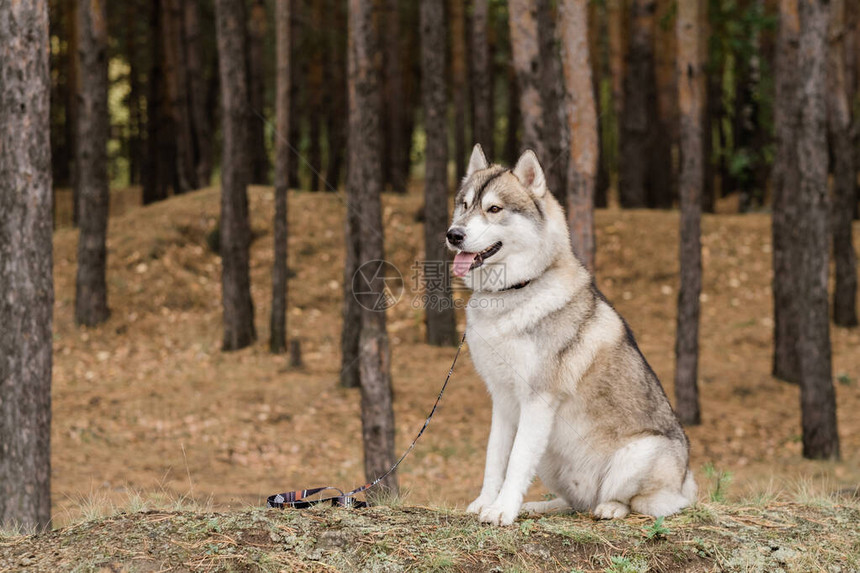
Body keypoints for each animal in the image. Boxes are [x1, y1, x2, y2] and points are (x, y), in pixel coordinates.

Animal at [446, 145, 696, 524]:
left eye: (494, 209)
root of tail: (684, 483)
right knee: (574, 501)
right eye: (464, 204)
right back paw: (539, 506)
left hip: (638, 455)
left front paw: (502, 510)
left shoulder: (537, 401)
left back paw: (610, 507)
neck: (515, 291)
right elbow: (495, 458)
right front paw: (486, 501)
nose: (453, 234)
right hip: (551, 458)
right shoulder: (502, 400)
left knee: (637, 502)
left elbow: (516, 461)